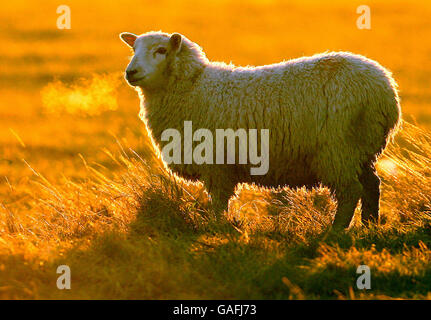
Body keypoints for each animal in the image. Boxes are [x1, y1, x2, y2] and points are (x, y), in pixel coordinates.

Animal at [120, 31, 404, 229]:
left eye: (161, 50)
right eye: (134, 48)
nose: (130, 72)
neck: (192, 87)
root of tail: (385, 89)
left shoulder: (216, 165)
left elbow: (218, 202)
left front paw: (217, 228)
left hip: (338, 149)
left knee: (351, 191)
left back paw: (334, 232)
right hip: (361, 149)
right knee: (372, 185)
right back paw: (368, 226)